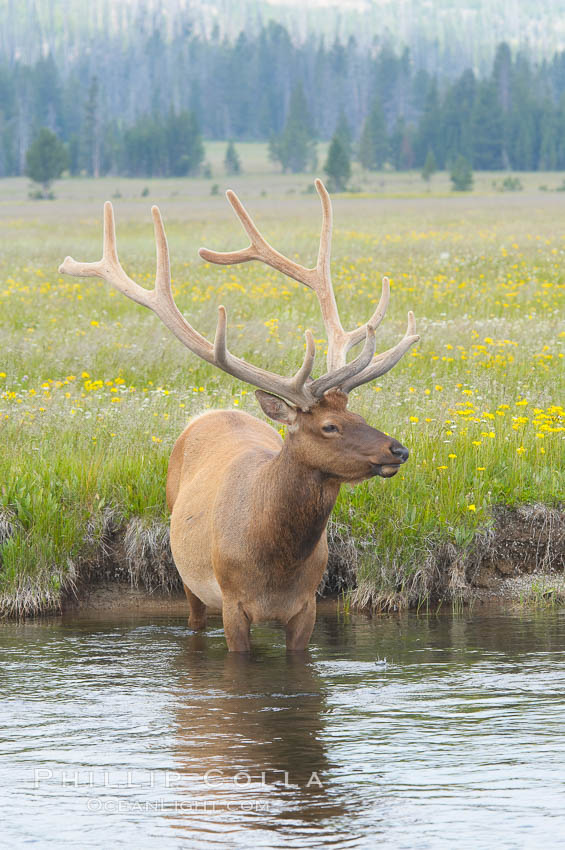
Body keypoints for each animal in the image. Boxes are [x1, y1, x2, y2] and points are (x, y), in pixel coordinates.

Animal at [59, 181, 418, 648]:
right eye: (330, 426)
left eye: (358, 415)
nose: (398, 450)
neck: (274, 564)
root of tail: (212, 412)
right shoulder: (232, 603)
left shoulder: (307, 606)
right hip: (187, 574)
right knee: (193, 620)